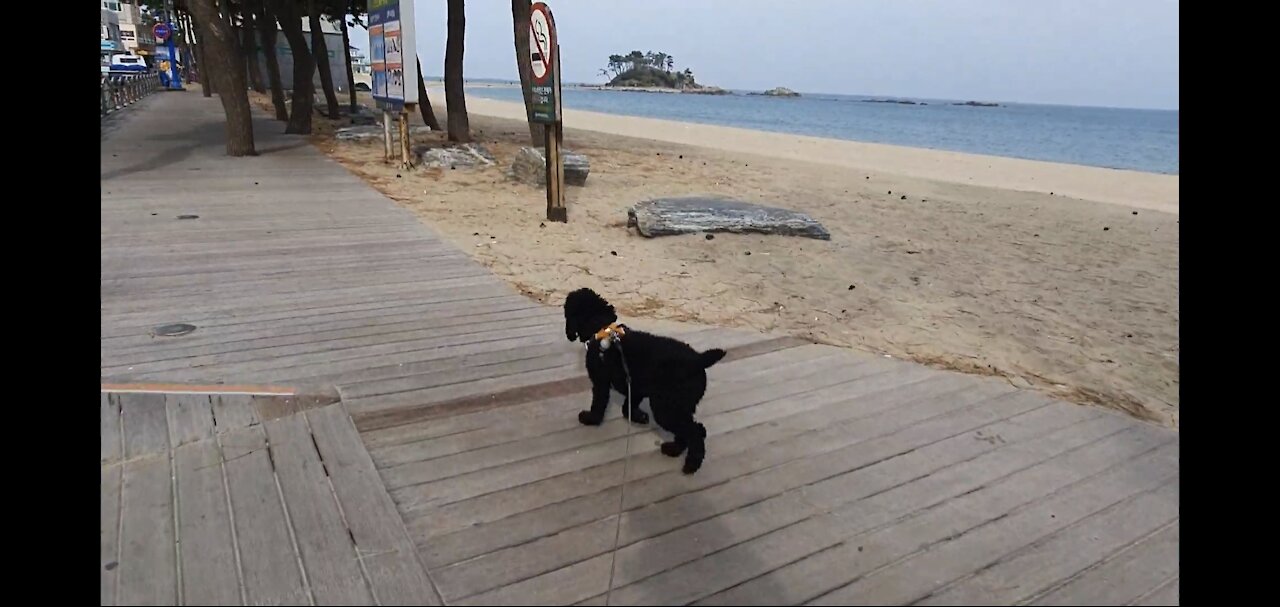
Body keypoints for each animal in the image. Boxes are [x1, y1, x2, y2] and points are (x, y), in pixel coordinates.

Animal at [565, 288, 727, 473]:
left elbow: (599, 404)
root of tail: (698, 360)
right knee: (696, 429)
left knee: (693, 432)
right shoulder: (635, 386)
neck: (601, 328)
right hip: (681, 406)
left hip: (666, 408)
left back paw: (691, 463)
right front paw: (638, 416)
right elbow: (628, 406)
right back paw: (674, 449)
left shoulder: (601, 382)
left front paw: (591, 418)